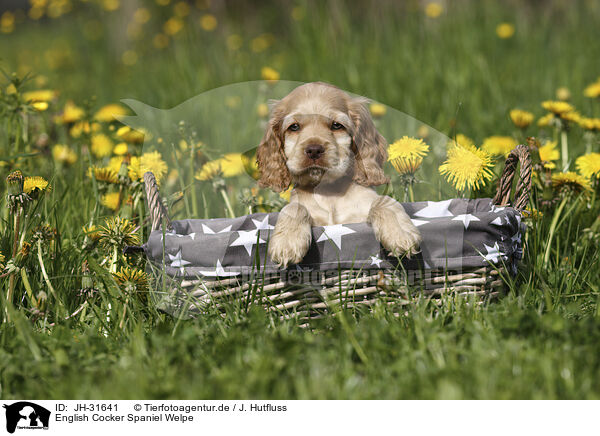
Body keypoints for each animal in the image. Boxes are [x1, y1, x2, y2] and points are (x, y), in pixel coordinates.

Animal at [256, 81, 422, 266]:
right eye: (294, 127)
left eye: (336, 125)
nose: (314, 150)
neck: (329, 192)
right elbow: (293, 207)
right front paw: (287, 242)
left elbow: (384, 200)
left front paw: (400, 235)